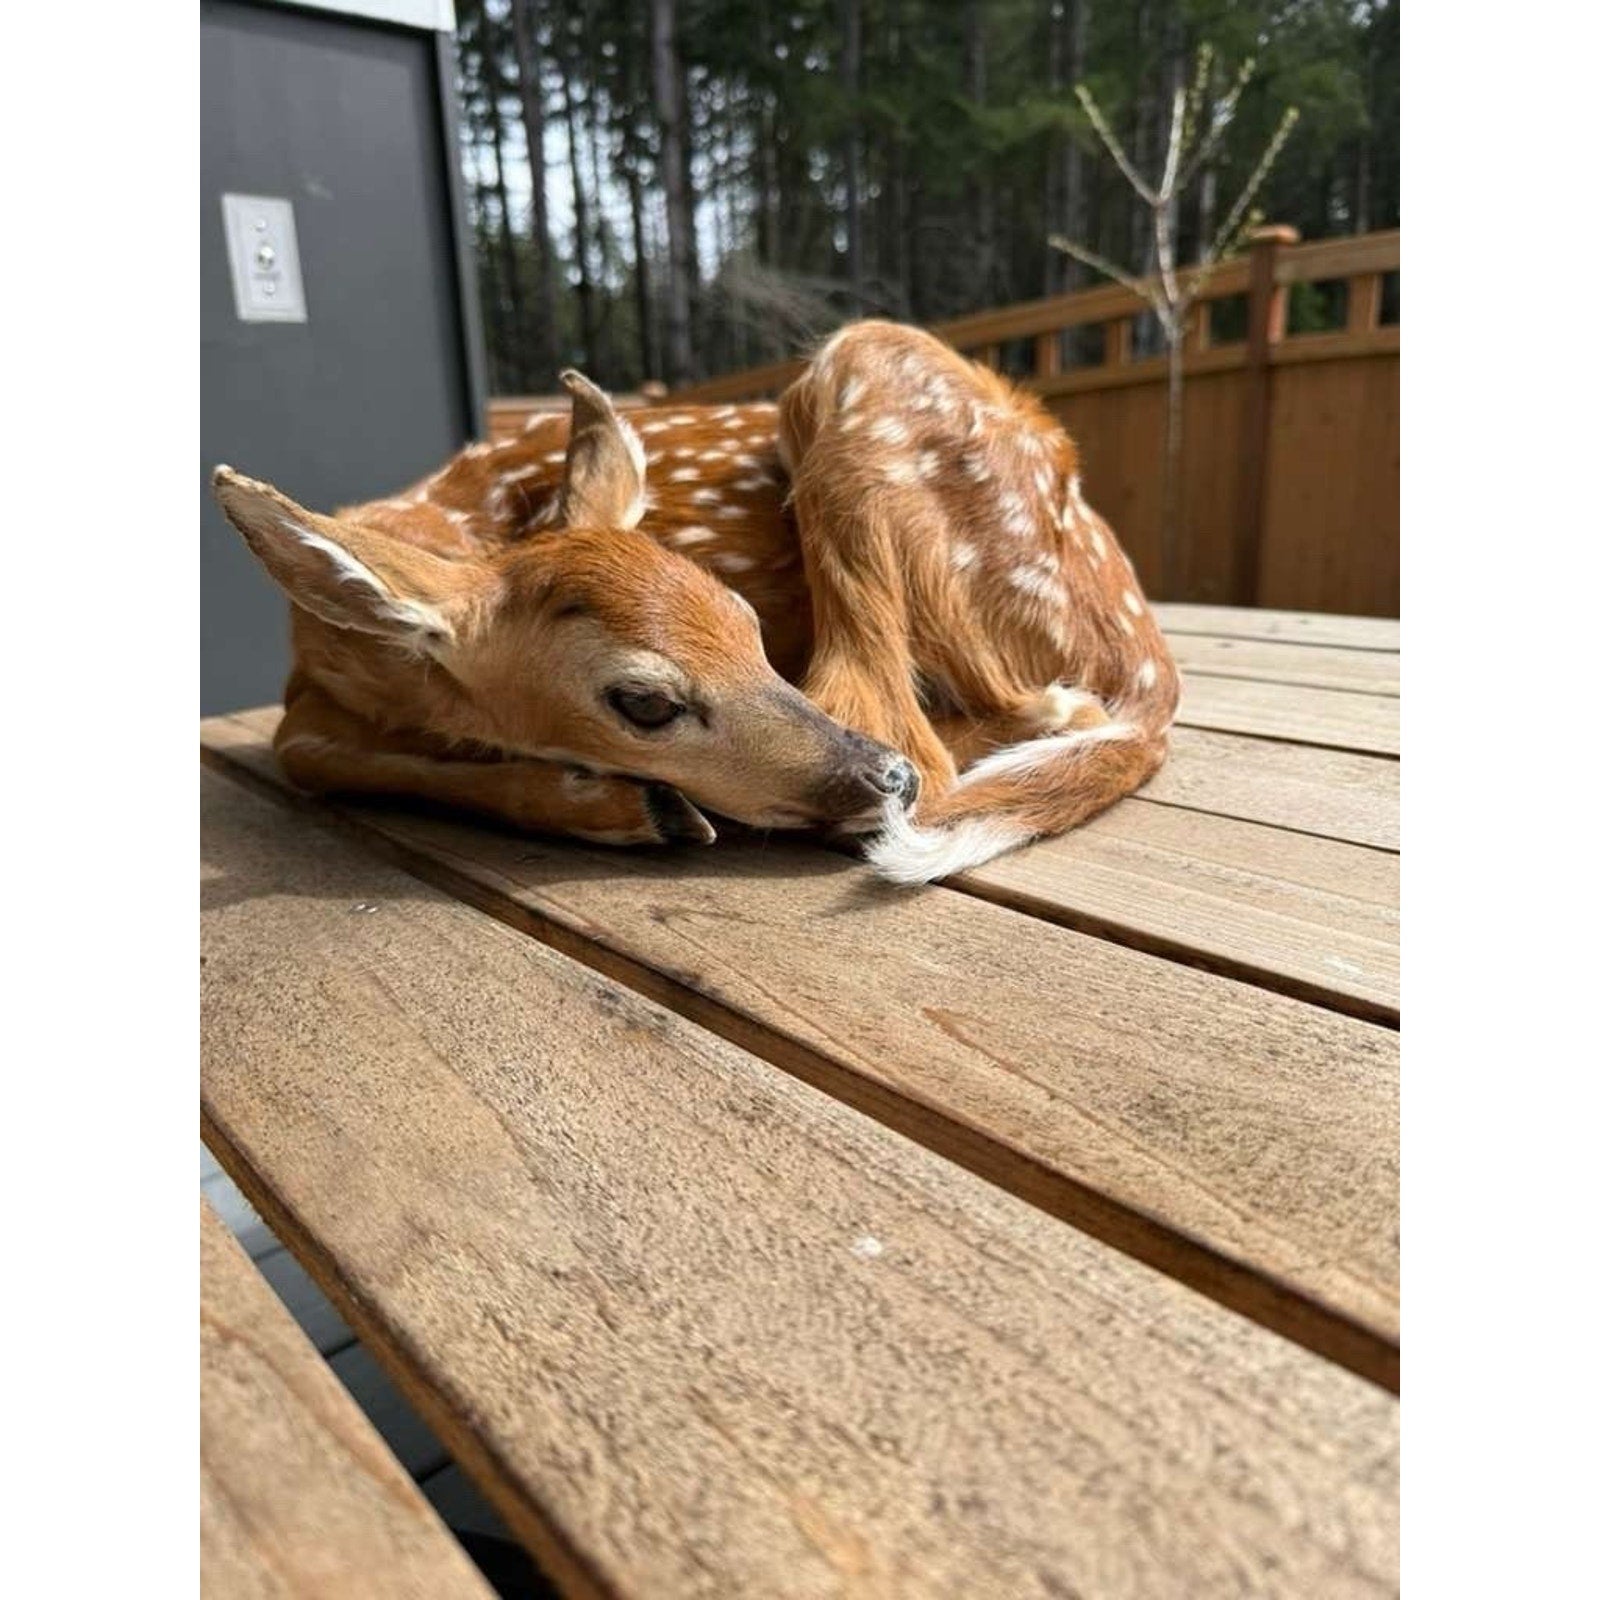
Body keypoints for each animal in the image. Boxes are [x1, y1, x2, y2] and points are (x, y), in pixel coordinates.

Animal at [211, 319, 1180, 884]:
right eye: (643, 701)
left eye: (747, 621)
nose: (883, 779)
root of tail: (1147, 661)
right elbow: (303, 751)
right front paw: (611, 801)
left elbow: (308, 752)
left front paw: (630, 809)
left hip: (861, 360)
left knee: (967, 726)